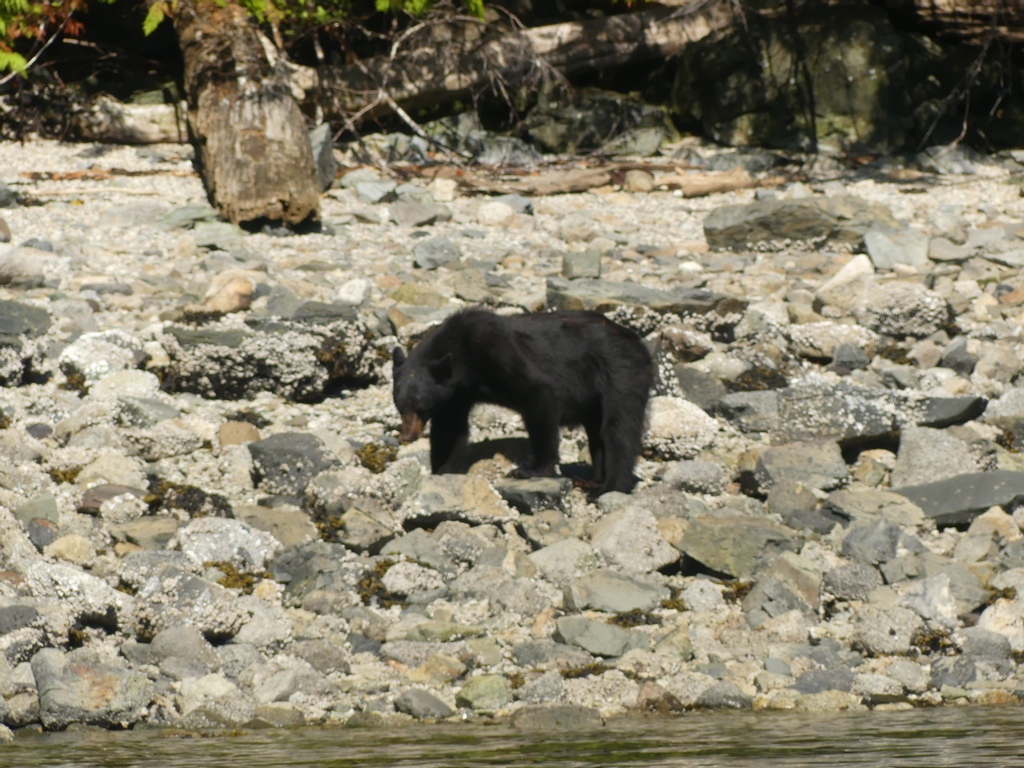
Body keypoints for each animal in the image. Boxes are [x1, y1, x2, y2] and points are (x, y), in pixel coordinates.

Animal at [391, 308, 653, 495]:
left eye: (419, 407)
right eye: (401, 408)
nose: (407, 436)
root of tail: (637, 341)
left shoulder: (501, 352)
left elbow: (538, 397)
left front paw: (533, 470)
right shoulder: (456, 394)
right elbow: (450, 428)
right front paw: (445, 469)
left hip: (621, 373)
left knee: (618, 427)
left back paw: (611, 486)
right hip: (595, 397)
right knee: (596, 433)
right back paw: (594, 481)